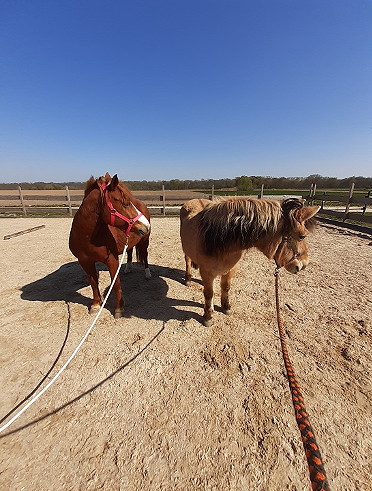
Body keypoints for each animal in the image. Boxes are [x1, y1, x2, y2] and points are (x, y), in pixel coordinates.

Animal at [69, 174, 150, 320]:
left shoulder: (112, 260)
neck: (88, 237)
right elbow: (93, 282)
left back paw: (147, 273)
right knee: (129, 252)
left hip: (145, 242)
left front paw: (119, 308)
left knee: (145, 256)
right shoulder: (85, 262)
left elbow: (115, 283)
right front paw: (96, 305)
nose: (146, 225)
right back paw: (128, 269)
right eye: (125, 203)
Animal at [180, 196, 320, 326]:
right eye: (302, 236)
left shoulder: (231, 269)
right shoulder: (207, 272)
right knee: (187, 260)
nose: (303, 264)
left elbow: (226, 287)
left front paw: (226, 307)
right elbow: (209, 294)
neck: (220, 240)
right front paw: (208, 316)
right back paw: (188, 278)